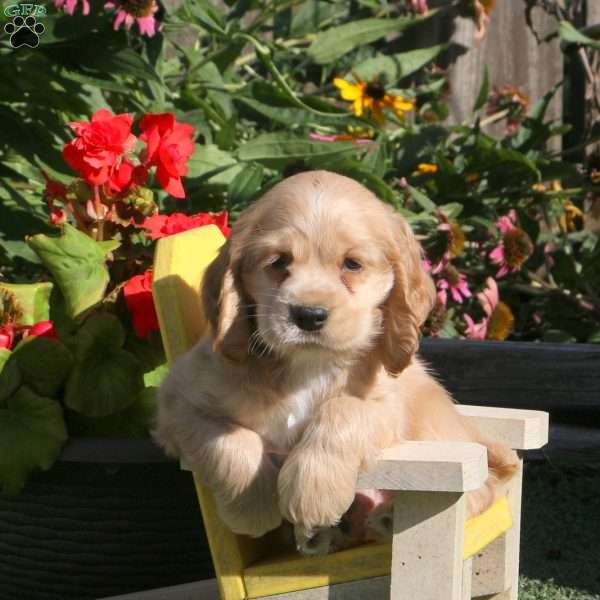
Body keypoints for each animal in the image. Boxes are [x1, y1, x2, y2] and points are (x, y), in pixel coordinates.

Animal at [154, 168, 516, 552]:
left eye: (352, 264)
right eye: (278, 262)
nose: (308, 315)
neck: (306, 366)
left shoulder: (385, 402)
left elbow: (343, 409)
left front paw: (311, 494)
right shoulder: (177, 400)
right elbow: (229, 439)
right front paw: (253, 507)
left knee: (484, 486)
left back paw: (385, 517)